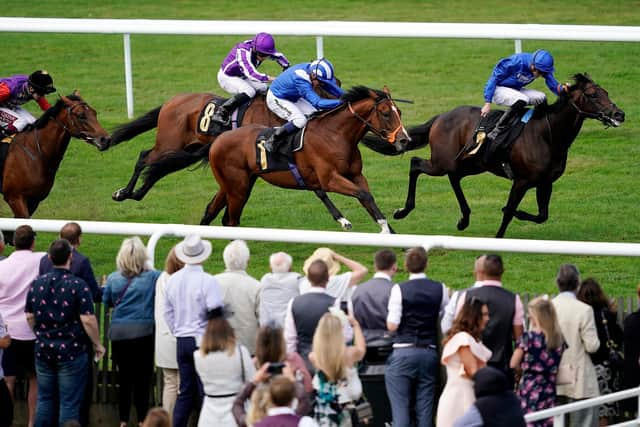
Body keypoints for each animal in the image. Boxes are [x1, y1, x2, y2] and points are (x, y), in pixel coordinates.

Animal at [199, 85, 410, 232]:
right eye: (385, 113)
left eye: (399, 112)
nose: (404, 140)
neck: (335, 135)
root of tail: (219, 139)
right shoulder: (329, 179)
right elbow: (363, 195)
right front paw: (382, 229)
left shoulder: (356, 175)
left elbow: (368, 199)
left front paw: (392, 234)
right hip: (238, 187)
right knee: (231, 220)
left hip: (237, 184)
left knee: (212, 210)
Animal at [364, 73, 624, 237]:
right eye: (592, 95)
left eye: (606, 91)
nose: (619, 114)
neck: (548, 135)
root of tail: (441, 117)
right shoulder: (522, 181)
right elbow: (508, 212)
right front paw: (499, 236)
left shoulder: (545, 183)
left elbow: (542, 215)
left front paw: (520, 213)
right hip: (442, 161)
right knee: (416, 164)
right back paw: (403, 211)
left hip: (472, 163)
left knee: (454, 178)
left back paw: (464, 219)